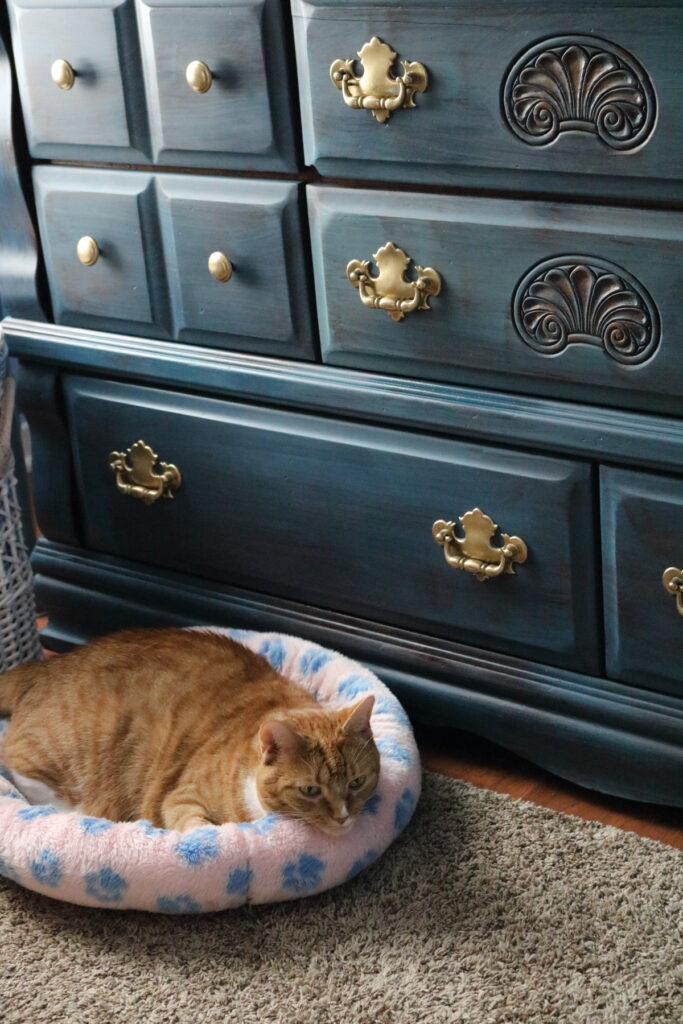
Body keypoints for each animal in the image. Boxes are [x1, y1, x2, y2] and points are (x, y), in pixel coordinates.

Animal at [0, 626, 378, 835]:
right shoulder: (180, 796)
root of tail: (43, 665)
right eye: (310, 790)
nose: (343, 818)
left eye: (357, 782)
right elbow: (196, 825)